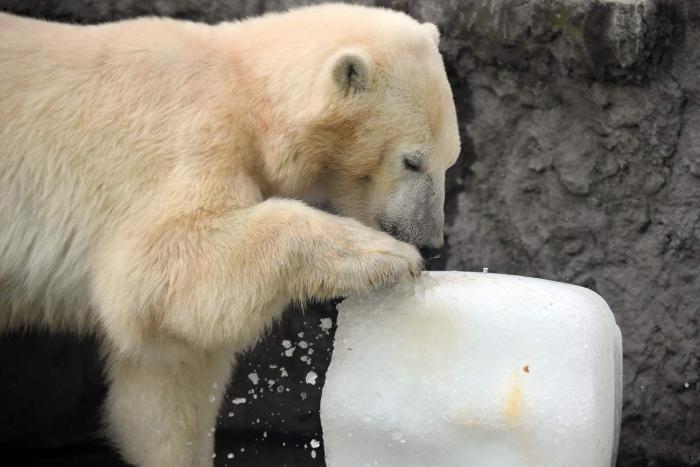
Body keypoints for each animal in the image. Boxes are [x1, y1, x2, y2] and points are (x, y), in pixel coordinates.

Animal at [0, 3, 460, 466]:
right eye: (412, 161)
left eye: (451, 159)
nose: (430, 242)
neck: (243, 87)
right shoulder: (183, 141)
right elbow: (161, 263)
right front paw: (385, 257)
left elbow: (167, 371)